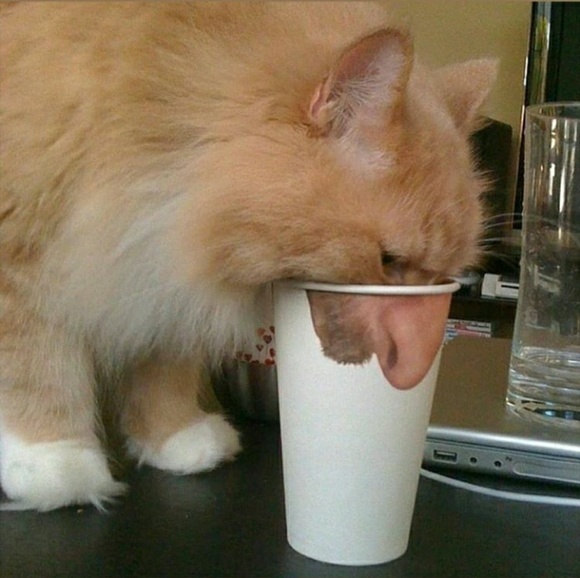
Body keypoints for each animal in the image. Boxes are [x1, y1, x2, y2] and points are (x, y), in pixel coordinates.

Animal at [0, 1, 496, 511]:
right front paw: (53, 459)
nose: (415, 341)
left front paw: (174, 435)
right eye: (389, 260)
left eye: (439, 277)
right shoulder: (25, 255)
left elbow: (163, 364)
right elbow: (35, 364)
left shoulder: (161, 261)